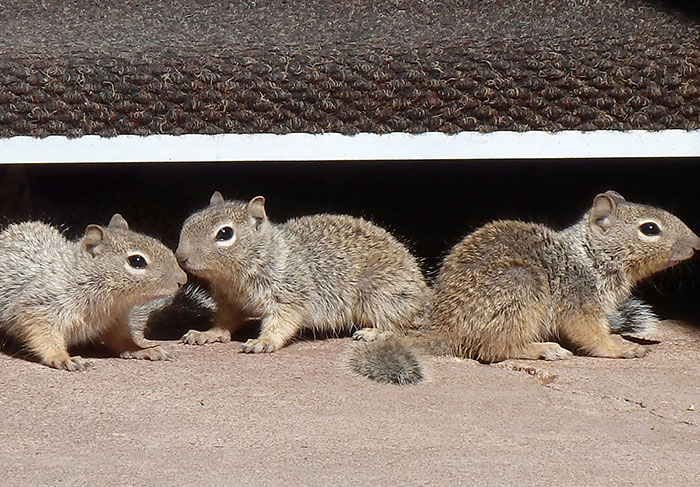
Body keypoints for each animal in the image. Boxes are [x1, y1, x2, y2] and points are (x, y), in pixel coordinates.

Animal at [0, 214, 187, 370]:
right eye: (137, 261)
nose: (183, 279)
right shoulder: (38, 306)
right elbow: (43, 335)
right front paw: (63, 357)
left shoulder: (114, 320)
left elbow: (122, 339)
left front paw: (141, 349)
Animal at [174, 191, 432, 353]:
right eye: (188, 220)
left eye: (225, 233)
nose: (180, 257)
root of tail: (424, 293)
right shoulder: (230, 301)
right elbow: (224, 321)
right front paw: (207, 333)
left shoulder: (290, 295)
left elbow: (283, 321)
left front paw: (263, 341)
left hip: (381, 297)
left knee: (400, 326)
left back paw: (374, 332)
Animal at [351, 191, 700, 384]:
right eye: (650, 229)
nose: (697, 243)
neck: (590, 256)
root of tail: (446, 330)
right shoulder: (580, 302)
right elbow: (591, 335)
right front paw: (621, 347)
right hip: (520, 291)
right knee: (493, 349)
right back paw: (543, 349)